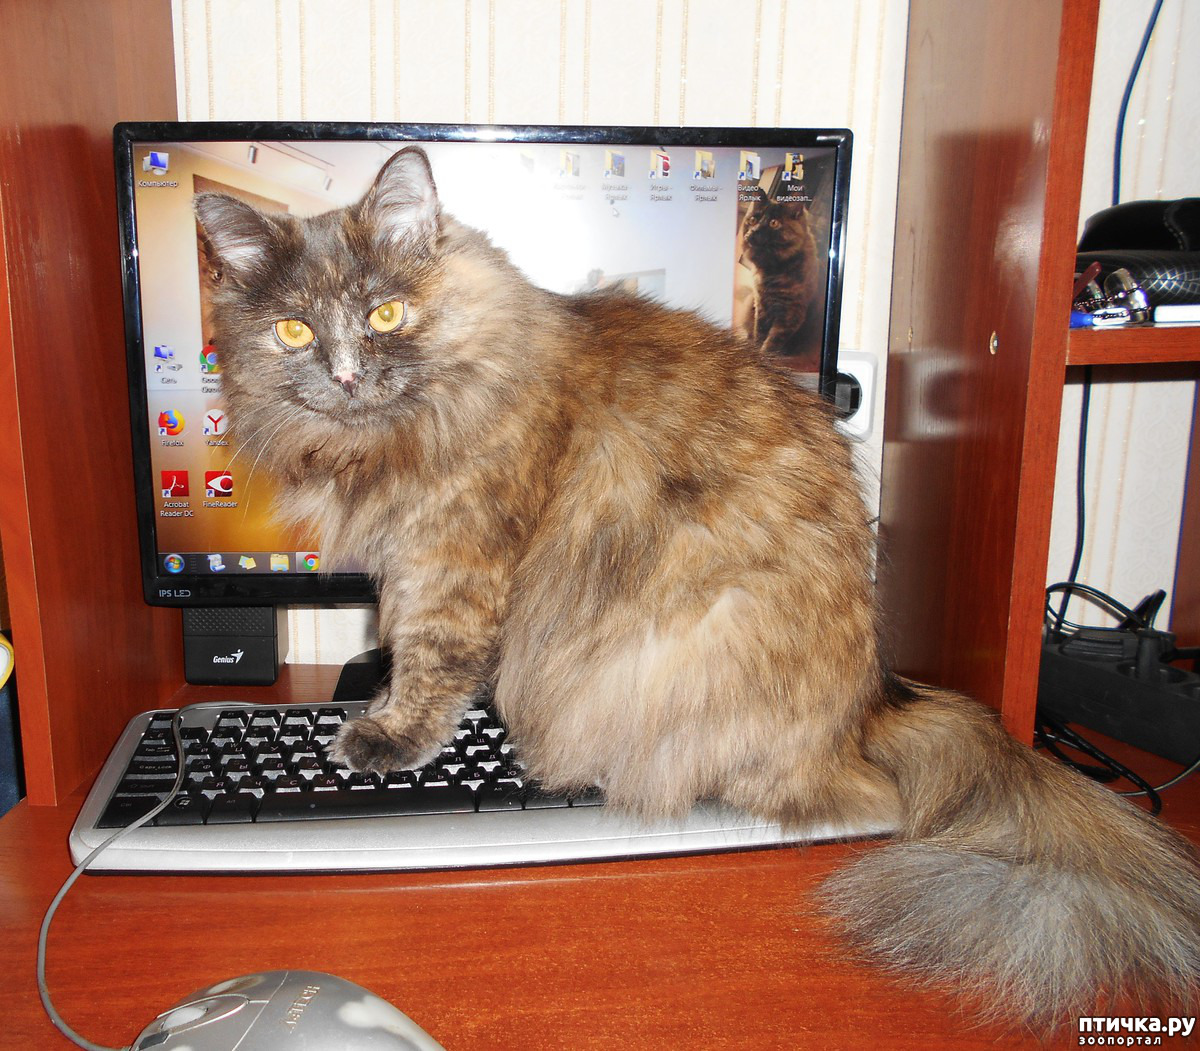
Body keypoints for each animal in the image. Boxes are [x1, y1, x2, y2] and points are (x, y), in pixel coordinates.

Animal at [737, 184, 822, 367]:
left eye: (774, 223)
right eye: (753, 220)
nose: (753, 231)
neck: (773, 271)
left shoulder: (790, 315)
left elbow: (771, 343)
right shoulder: (762, 305)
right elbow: (760, 333)